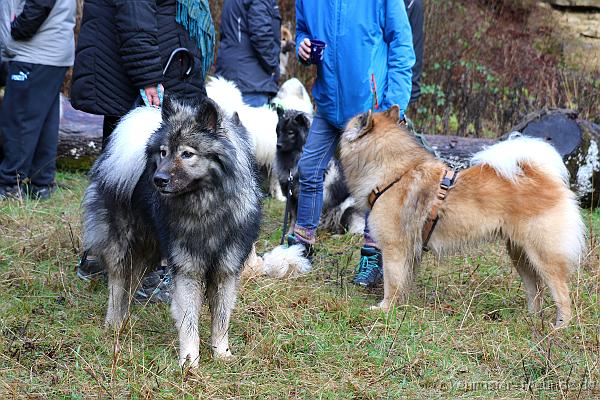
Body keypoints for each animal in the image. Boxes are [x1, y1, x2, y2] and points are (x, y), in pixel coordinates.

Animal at [340, 106, 584, 328]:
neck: (395, 173)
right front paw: (402, 306)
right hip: (520, 254)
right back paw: (531, 319)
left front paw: (385, 309)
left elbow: (392, 282)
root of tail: (542, 176)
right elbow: (404, 281)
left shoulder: (394, 247)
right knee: (535, 289)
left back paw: (560, 326)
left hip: (543, 255)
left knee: (561, 292)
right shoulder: (411, 251)